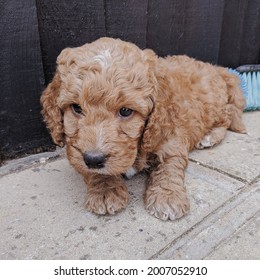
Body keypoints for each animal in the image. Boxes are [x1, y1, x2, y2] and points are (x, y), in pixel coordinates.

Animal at [40, 37, 246, 221]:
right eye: (76, 107)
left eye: (125, 111)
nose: (93, 159)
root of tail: (216, 68)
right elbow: (92, 171)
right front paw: (105, 190)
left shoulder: (171, 139)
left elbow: (169, 166)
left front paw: (167, 196)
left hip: (214, 106)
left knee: (228, 116)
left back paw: (210, 137)